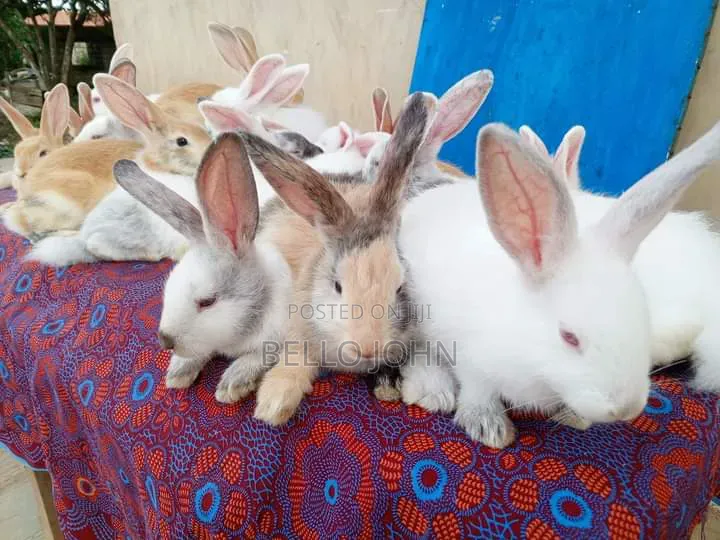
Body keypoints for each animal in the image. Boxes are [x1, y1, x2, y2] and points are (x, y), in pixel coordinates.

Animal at [114, 133, 292, 398]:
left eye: (207, 301)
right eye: (168, 288)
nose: (166, 340)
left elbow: (259, 356)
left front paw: (233, 384)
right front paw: (178, 373)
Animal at [239, 92, 436, 426]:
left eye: (399, 287)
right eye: (337, 286)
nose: (367, 347)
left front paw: (387, 388)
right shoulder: (299, 331)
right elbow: (294, 361)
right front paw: (273, 406)